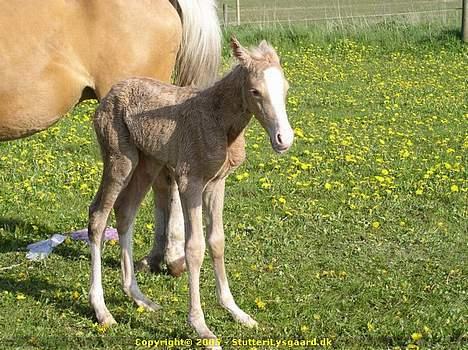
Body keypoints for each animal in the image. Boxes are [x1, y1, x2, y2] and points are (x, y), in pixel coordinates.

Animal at [88, 37, 292, 344]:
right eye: (255, 91)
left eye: (286, 88)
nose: (284, 139)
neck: (219, 120)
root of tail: (108, 96)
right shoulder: (189, 182)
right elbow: (194, 248)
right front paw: (201, 327)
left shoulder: (217, 183)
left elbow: (217, 241)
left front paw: (237, 312)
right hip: (119, 159)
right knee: (98, 217)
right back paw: (102, 311)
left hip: (146, 163)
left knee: (125, 212)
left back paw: (138, 297)